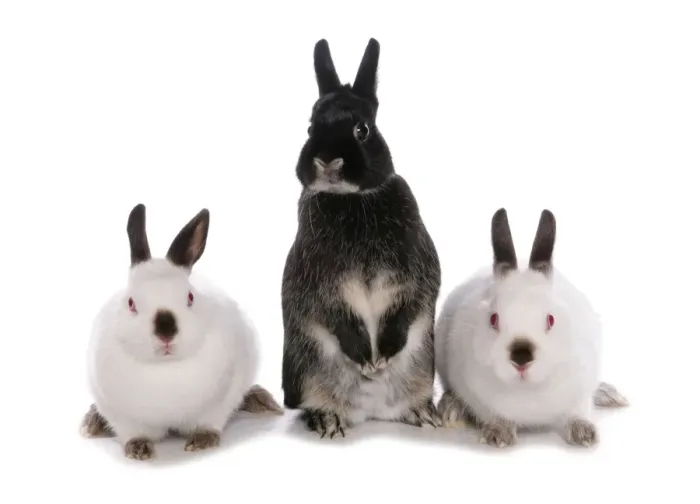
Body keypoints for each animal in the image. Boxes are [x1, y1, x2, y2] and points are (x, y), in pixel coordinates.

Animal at [80, 203, 282, 460]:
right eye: (131, 303)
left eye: (190, 297)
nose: (166, 332)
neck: (166, 369)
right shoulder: (120, 413)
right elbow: (131, 432)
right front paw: (138, 449)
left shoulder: (219, 402)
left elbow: (211, 421)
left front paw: (202, 441)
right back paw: (93, 423)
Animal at [281, 38, 442, 438]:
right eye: (311, 127)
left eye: (363, 130)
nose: (327, 160)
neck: (351, 200)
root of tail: (370, 412)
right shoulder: (321, 285)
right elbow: (335, 316)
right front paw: (366, 359)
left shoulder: (415, 277)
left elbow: (408, 310)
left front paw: (381, 357)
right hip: (309, 373)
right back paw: (328, 420)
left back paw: (422, 414)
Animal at [435, 208, 628, 448]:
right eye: (494, 319)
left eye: (551, 319)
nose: (521, 356)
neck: (528, 389)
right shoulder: (476, 395)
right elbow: (495, 415)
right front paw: (498, 434)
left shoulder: (581, 391)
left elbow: (578, 412)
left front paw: (585, 434)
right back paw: (451, 409)